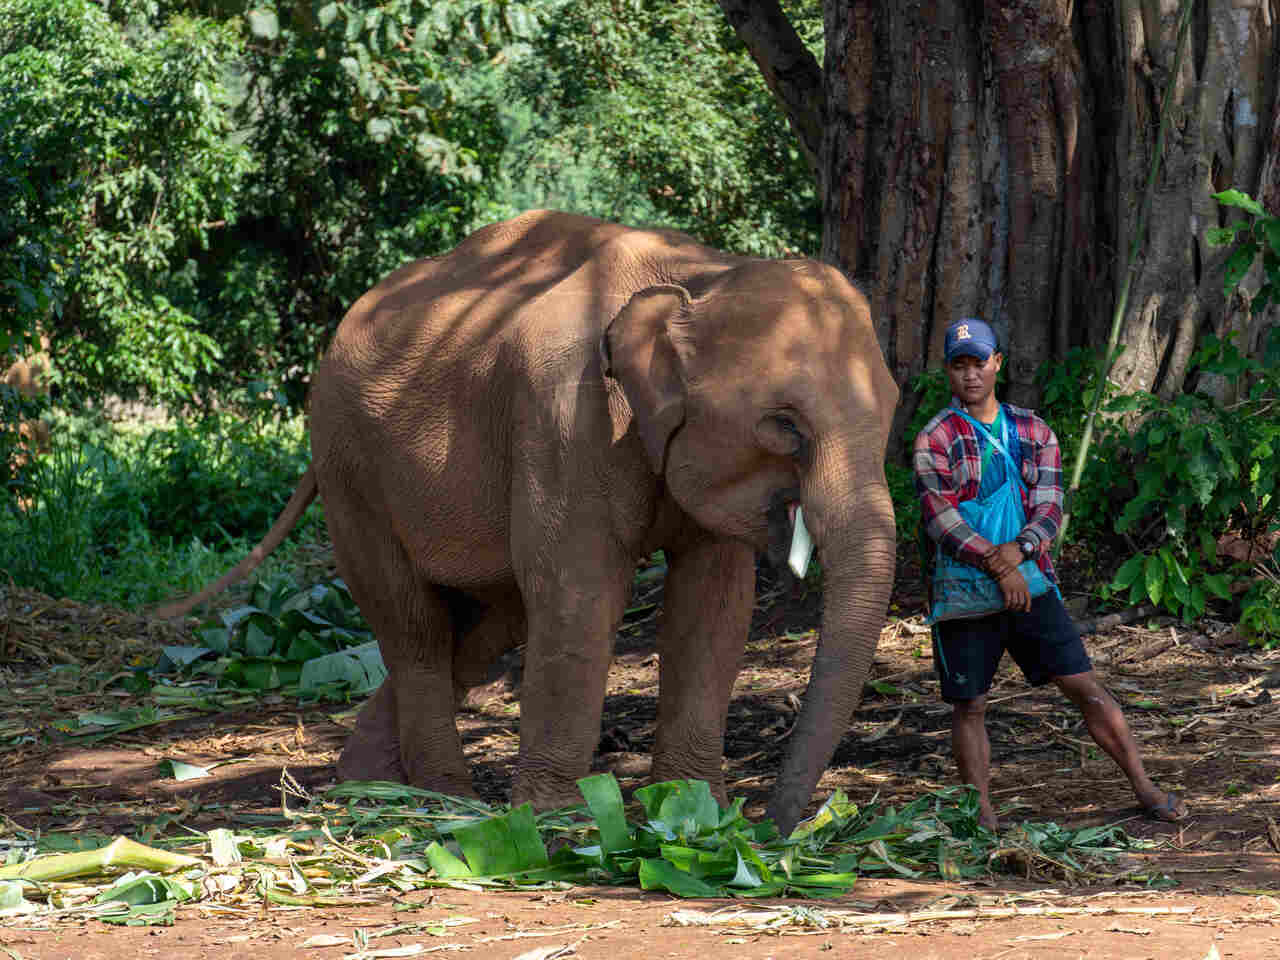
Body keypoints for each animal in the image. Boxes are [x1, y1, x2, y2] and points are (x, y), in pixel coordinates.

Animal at [162, 210, 898, 834]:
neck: (702, 273)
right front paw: (560, 821)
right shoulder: (564, 417)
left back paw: (368, 786)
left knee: (483, 626)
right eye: (786, 426)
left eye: (892, 408)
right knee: (415, 626)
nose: (773, 827)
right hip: (351, 469)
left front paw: (698, 816)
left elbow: (714, 604)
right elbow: (580, 594)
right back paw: (442, 801)